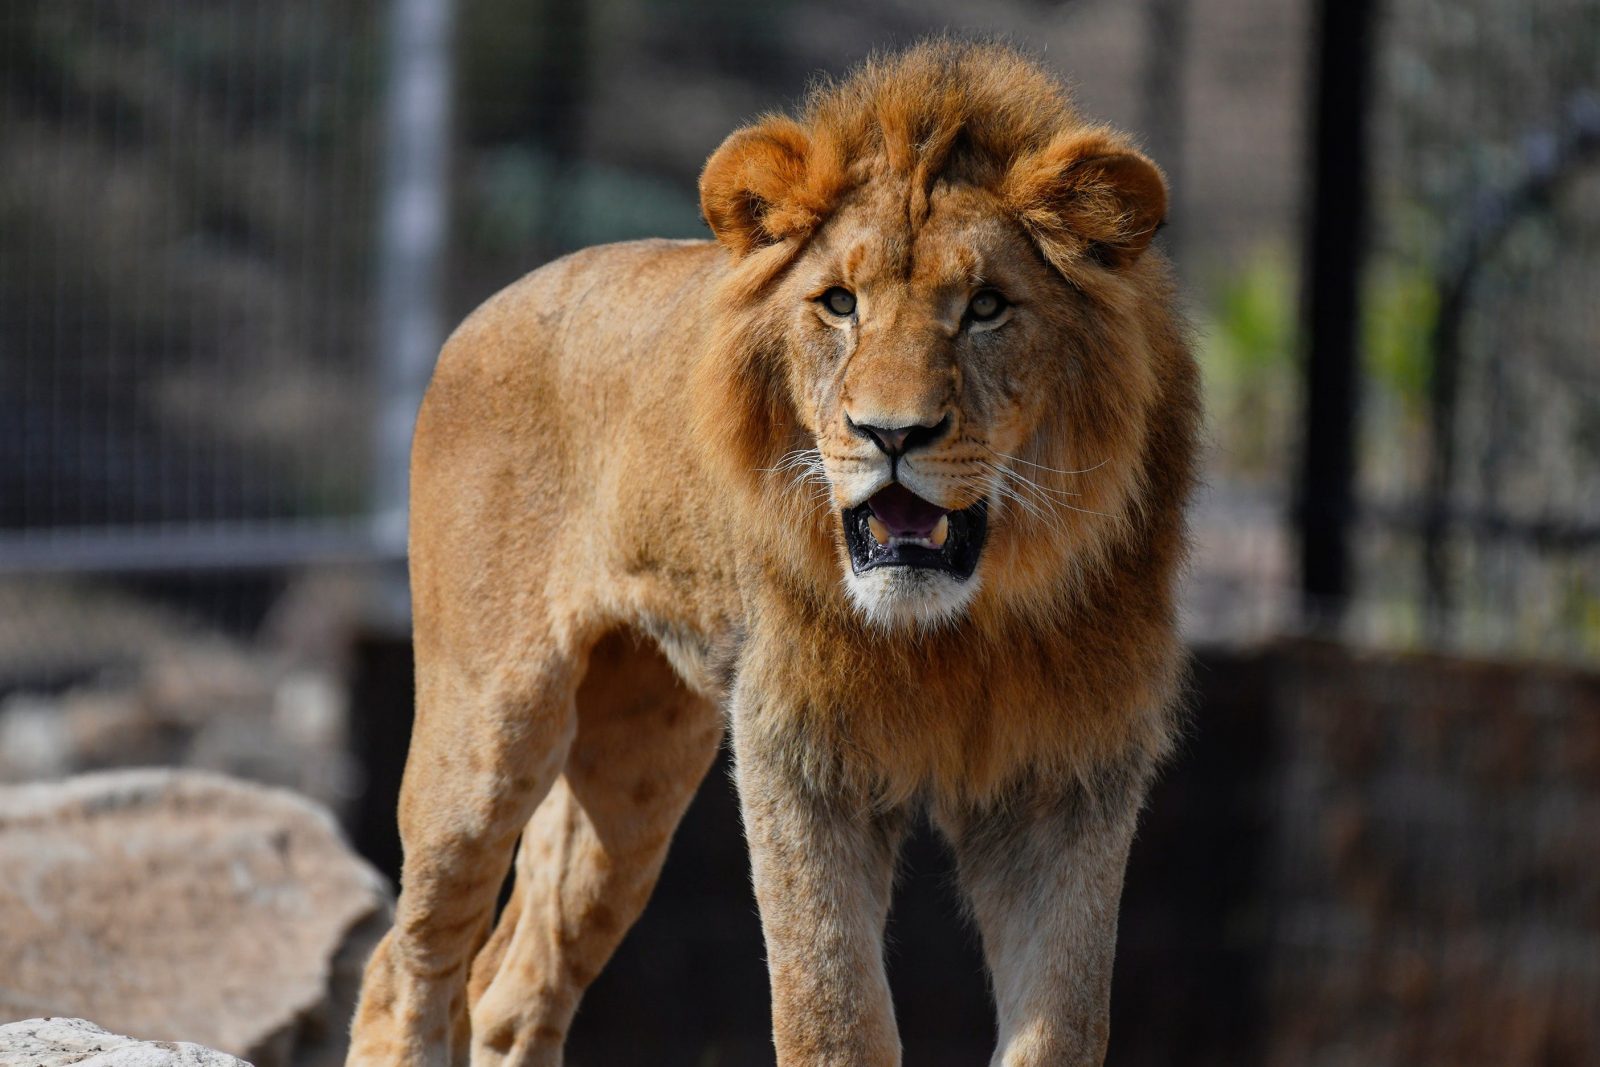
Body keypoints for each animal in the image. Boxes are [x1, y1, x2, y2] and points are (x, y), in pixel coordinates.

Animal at [350, 39, 1203, 1067]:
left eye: (988, 307)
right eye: (839, 303)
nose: (891, 433)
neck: (969, 623)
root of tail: (486, 306)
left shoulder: (1071, 771)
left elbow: (1066, 1021)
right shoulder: (800, 752)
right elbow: (830, 1010)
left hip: (637, 769)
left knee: (512, 984)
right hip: (490, 724)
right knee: (410, 962)